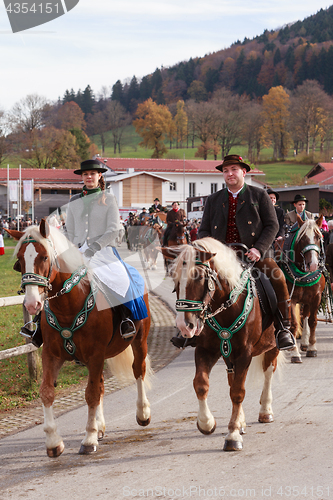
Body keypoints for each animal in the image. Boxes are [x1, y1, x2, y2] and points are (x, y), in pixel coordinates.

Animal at [7, 221, 151, 458]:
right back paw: (100, 426)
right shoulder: (52, 355)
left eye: (44, 257)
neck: (68, 304)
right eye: (19, 260)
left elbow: (91, 394)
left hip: (139, 341)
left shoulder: (95, 355)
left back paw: (143, 413)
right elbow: (47, 392)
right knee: (100, 384)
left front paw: (89, 438)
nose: (31, 304)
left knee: (138, 370)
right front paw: (53, 441)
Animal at [165, 238, 282, 454]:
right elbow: (201, 384)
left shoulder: (244, 354)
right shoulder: (206, 350)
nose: (184, 326)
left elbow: (237, 392)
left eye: (198, 278)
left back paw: (265, 411)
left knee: (268, 372)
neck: (226, 306)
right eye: (174, 278)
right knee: (232, 379)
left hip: (272, 347)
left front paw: (233, 435)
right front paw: (207, 423)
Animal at [278, 215, 324, 364]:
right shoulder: (290, 298)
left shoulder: (316, 297)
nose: (313, 264)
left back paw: (304, 342)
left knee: (305, 316)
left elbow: (312, 321)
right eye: (302, 239)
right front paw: (294, 353)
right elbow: (293, 324)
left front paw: (311, 348)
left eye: (318, 237)